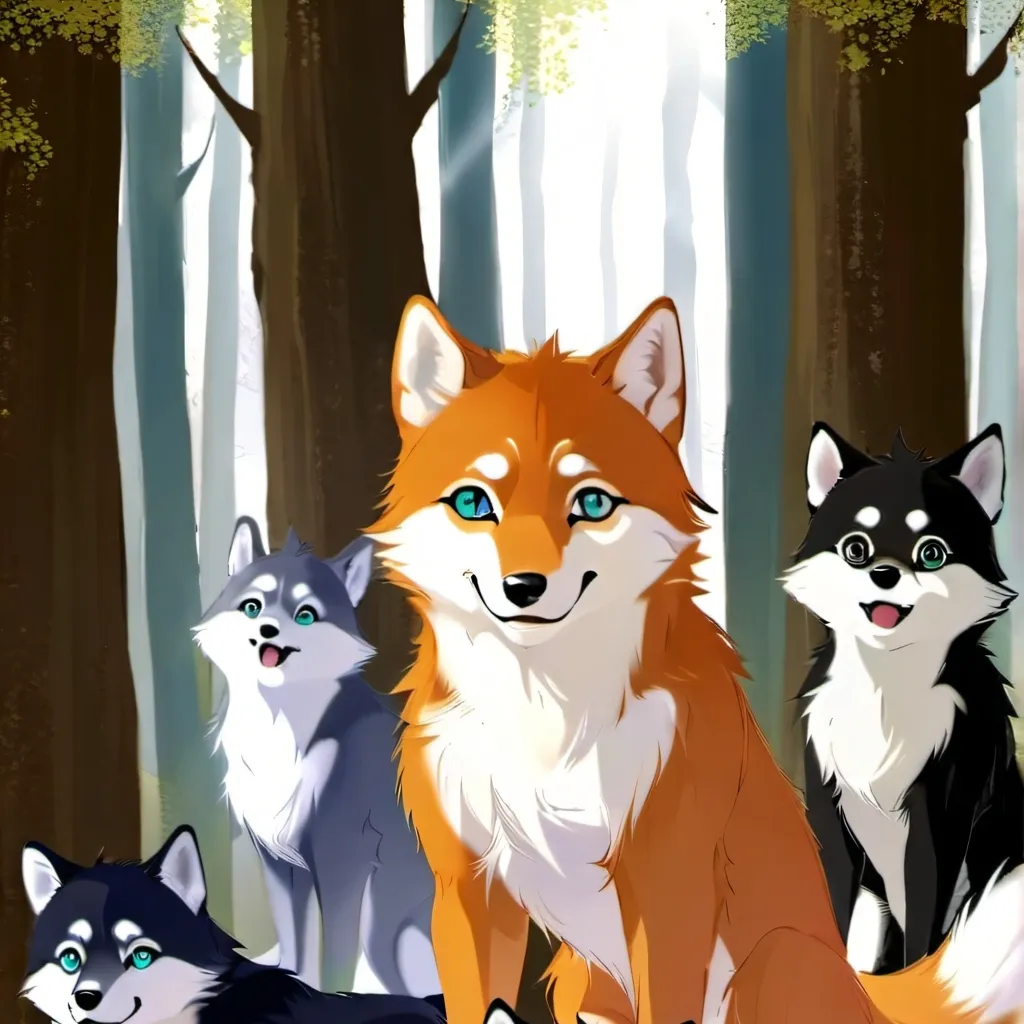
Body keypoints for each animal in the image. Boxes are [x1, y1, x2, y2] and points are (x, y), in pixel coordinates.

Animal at [193, 519, 438, 996]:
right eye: (252, 607)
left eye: (305, 614)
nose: (269, 630)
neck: (278, 726)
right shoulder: (279, 860)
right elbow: (295, 941)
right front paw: (290, 978)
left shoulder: (342, 858)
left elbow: (334, 956)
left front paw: (331, 993)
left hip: (383, 925)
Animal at [782, 422, 1024, 977]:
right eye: (856, 548)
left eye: (931, 552)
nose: (885, 573)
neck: (887, 681)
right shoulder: (831, 811)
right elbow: (836, 906)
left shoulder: (938, 819)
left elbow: (924, 929)